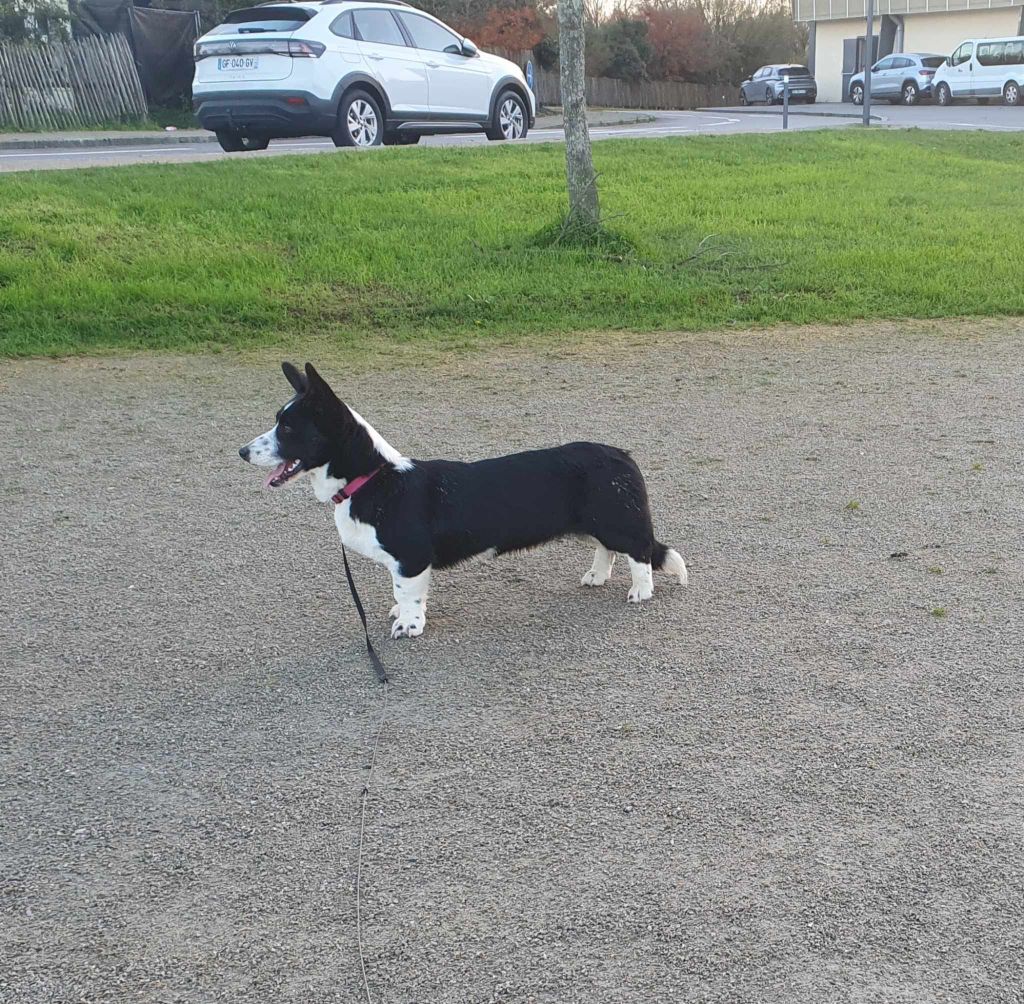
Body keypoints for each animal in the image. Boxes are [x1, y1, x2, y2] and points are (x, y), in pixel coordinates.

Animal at [239, 364, 688, 639]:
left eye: (289, 428)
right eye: (278, 421)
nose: (241, 452)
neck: (373, 479)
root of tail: (622, 455)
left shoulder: (410, 558)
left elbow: (408, 595)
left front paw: (408, 627)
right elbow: (402, 594)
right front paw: (399, 614)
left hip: (617, 521)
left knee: (640, 552)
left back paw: (640, 592)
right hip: (593, 524)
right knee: (606, 550)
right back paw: (596, 577)